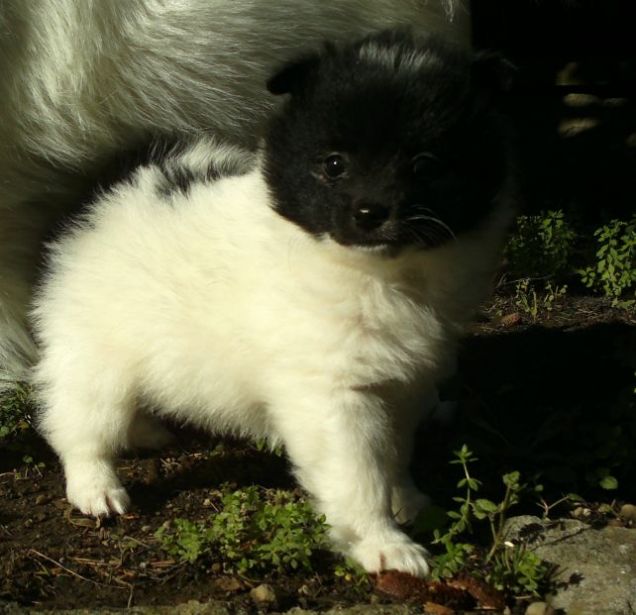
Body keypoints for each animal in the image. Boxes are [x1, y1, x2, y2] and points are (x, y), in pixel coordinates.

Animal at [32, 30, 516, 576]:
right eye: (333, 164)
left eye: (426, 166)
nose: (370, 212)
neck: (375, 273)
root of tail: (105, 188)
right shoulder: (332, 394)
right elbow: (359, 473)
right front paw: (384, 544)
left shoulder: (400, 384)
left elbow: (393, 453)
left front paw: (407, 500)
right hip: (94, 354)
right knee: (78, 424)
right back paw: (96, 487)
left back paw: (146, 431)